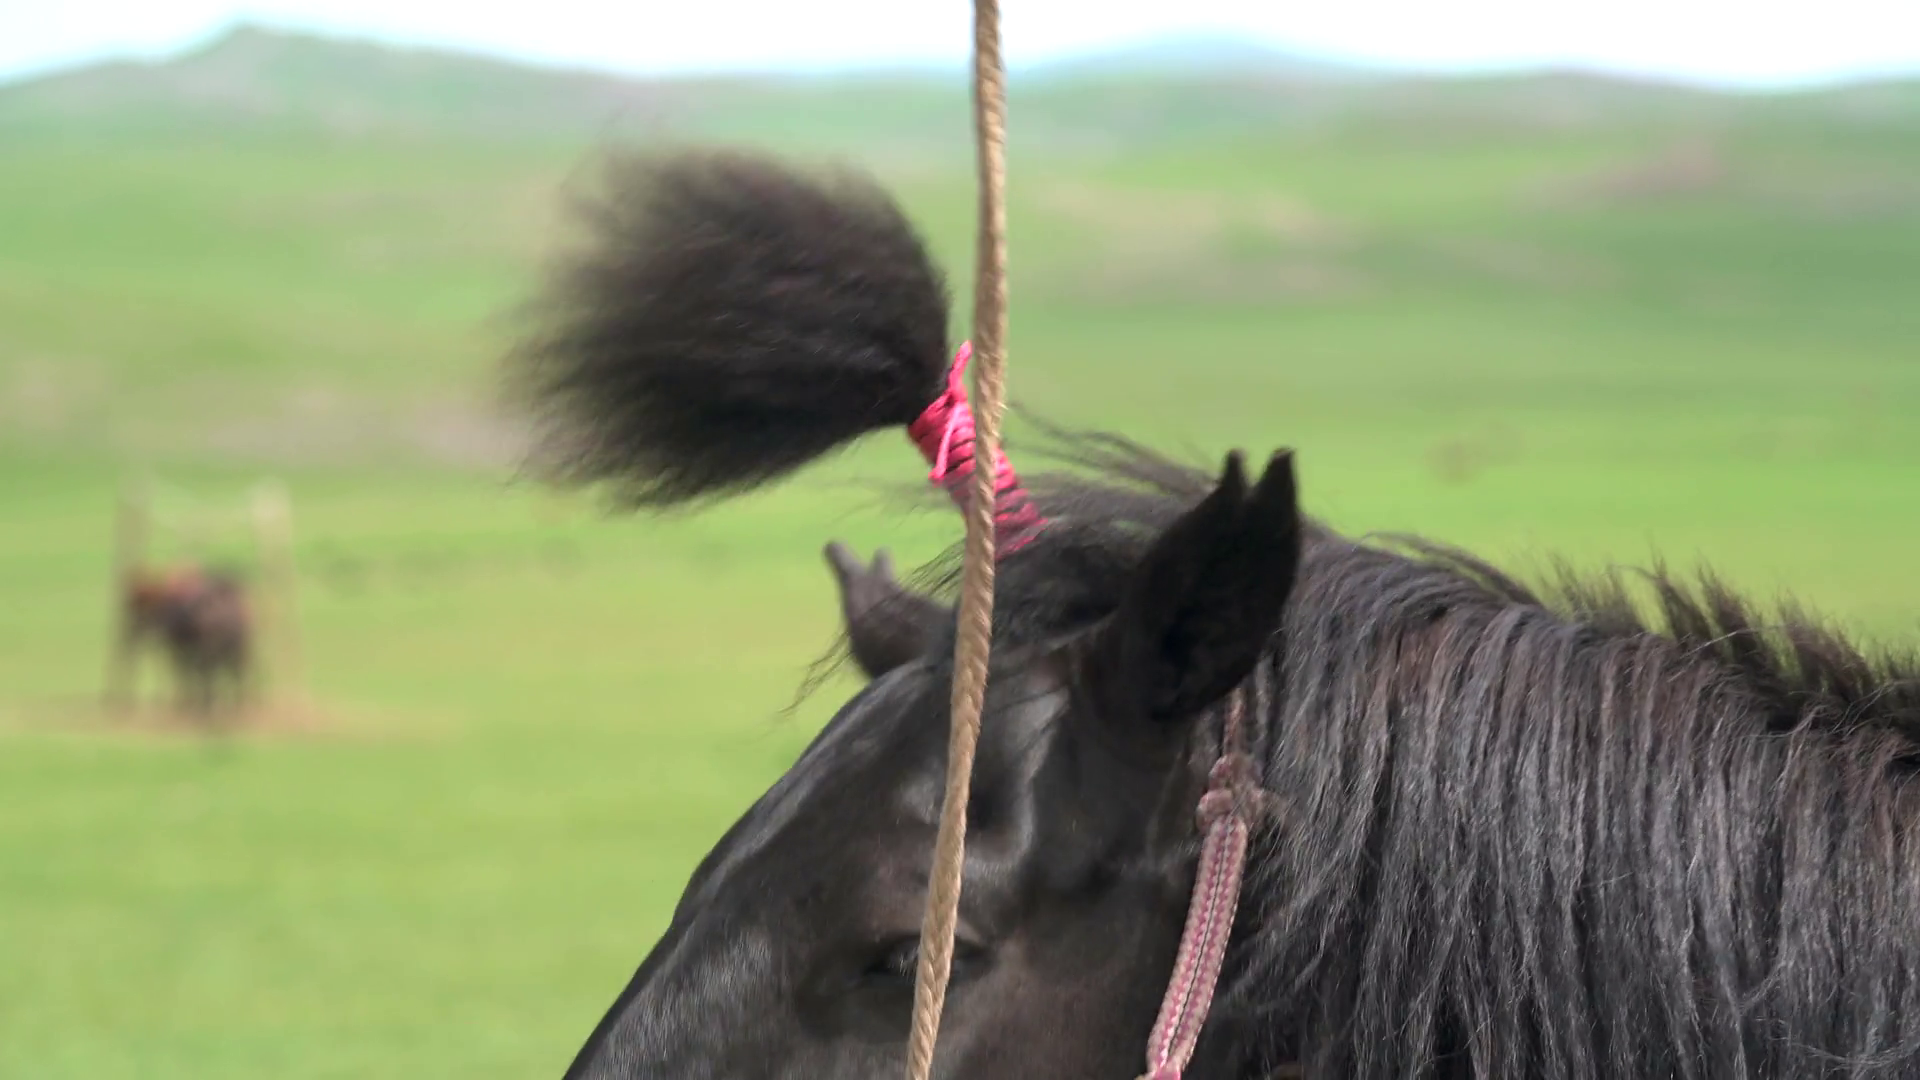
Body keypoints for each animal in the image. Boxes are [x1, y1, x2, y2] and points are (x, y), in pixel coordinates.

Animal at [118, 563, 255, 721]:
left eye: (138, 605)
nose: (130, 631)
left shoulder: (185, 650)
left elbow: (187, 674)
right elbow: (188, 674)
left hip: (226, 653)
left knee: (224, 675)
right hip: (233, 652)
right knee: (231, 675)